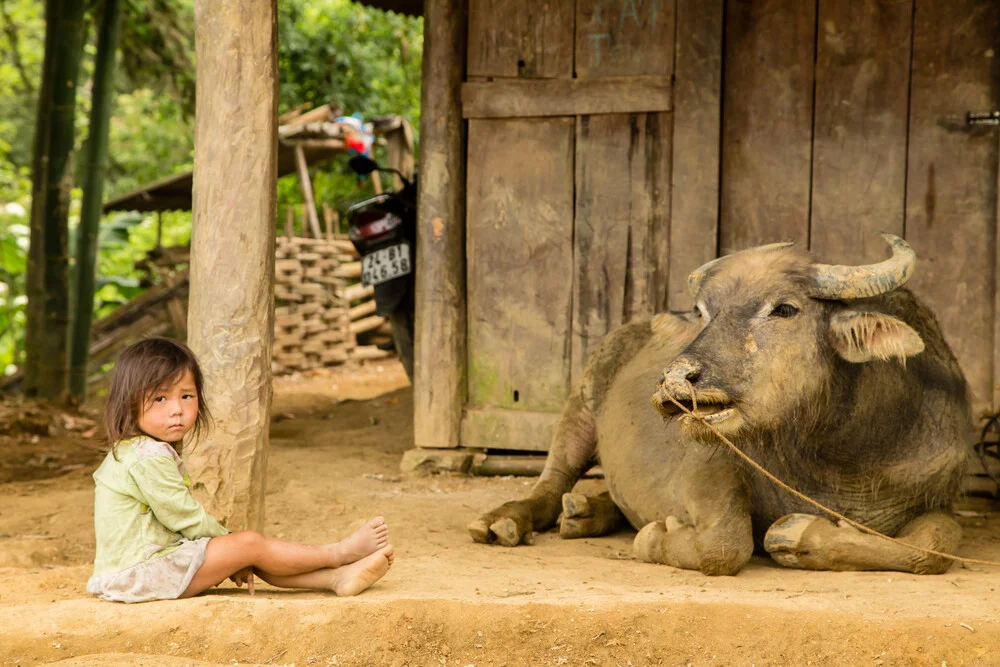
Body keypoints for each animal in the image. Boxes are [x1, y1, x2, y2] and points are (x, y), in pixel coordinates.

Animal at [468, 235, 968, 576]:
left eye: (784, 309)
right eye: (703, 311)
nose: (674, 379)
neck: (841, 457)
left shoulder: (937, 493)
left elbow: (935, 546)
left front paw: (798, 535)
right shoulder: (704, 466)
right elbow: (726, 544)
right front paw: (655, 538)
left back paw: (584, 512)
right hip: (581, 404)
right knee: (550, 481)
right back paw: (504, 521)